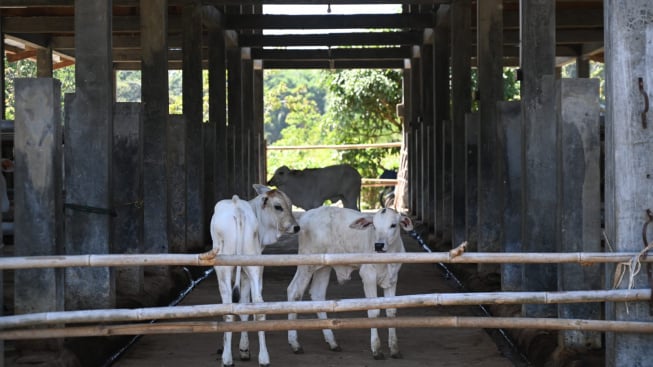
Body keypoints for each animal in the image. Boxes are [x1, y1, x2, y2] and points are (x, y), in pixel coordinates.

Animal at [205, 184, 300, 367]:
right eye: (278, 206)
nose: (296, 227)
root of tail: (238, 209)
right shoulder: (245, 274)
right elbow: (245, 308)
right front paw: (244, 349)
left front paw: (241, 349)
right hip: (254, 265)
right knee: (258, 305)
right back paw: (264, 358)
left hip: (224, 269)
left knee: (228, 309)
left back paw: (227, 359)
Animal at [286, 206, 412, 360]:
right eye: (374, 226)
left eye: (393, 225)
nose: (378, 245)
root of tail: (306, 216)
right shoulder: (368, 275)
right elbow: (374, 311)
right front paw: (376, 349)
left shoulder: (392, 279)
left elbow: (391, 311)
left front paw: (394, 349)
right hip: (306, 264)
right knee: (294, 291)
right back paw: (295, 344)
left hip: (324, 266)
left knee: (317, 294)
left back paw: (332, 343)